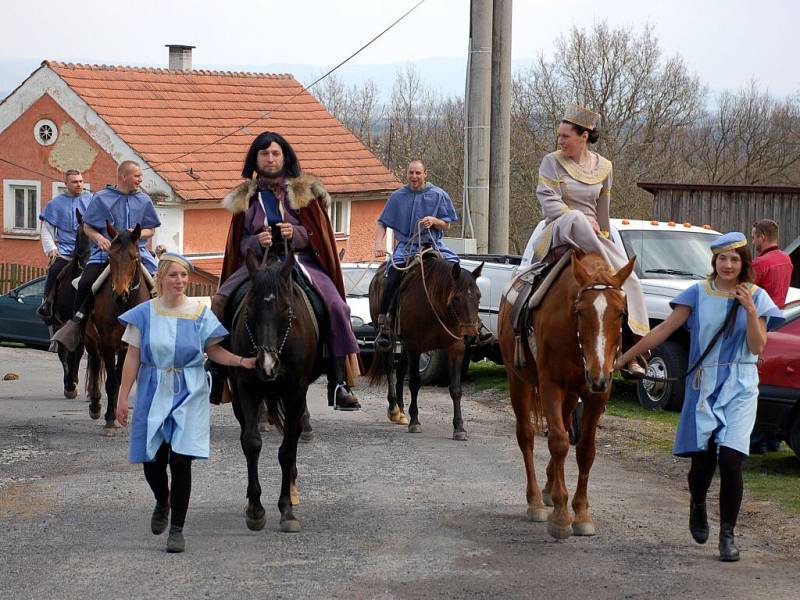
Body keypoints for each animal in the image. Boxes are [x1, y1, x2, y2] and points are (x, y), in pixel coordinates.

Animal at [85, 223, 151, 434]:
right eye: (110, 257)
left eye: (134, 257)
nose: (120, 294)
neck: (124, 307)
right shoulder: (106, 342)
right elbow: (112, 381)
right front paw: (109, 419)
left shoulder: (126, 345)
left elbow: (120, 378)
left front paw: (115, 413)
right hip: (91, 339)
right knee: (95, 364)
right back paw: (95, 406)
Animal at [368, 256, 482, 440]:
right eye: (456, 298)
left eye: (478, 296)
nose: (470, 336)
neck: (436, 307)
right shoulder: (415, 346)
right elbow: (415, 383)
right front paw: (415, 421)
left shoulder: (456, 348)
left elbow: (456, 389)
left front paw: (459, 427)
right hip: (389, 339)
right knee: (389, 366)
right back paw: (394, 409)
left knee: (401, 369)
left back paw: (401, 411)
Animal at [496, 252, 636, 540]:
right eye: (580, 311)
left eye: (621, 313)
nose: (598, 374)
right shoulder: (551, 385)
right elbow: (559, 443)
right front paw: (561, 517)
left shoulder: (597, 394)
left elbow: (585, 450)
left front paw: (581, 513)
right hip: (518, 380)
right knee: (527, 436)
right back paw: (536, 500)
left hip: (572, 396)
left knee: (561, 423)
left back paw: (549, 488)